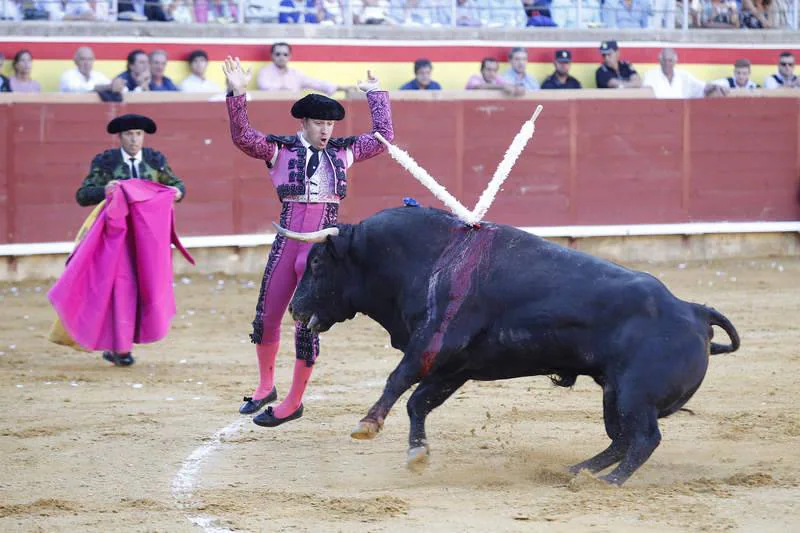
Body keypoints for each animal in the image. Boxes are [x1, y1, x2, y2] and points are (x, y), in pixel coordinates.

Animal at [284, 206, 740, 484]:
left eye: (317, 263)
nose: (294, 308)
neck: (429, 256)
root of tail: (694, 311)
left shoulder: (434, 341)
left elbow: (399, 380)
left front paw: (367, 424)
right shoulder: (456, 366)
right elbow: (419, 402)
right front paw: (418, 454)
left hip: (635, 394)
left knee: (644, 438)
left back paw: (606, 483)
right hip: (615, 394)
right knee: (622, 437)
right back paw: (578, 470)